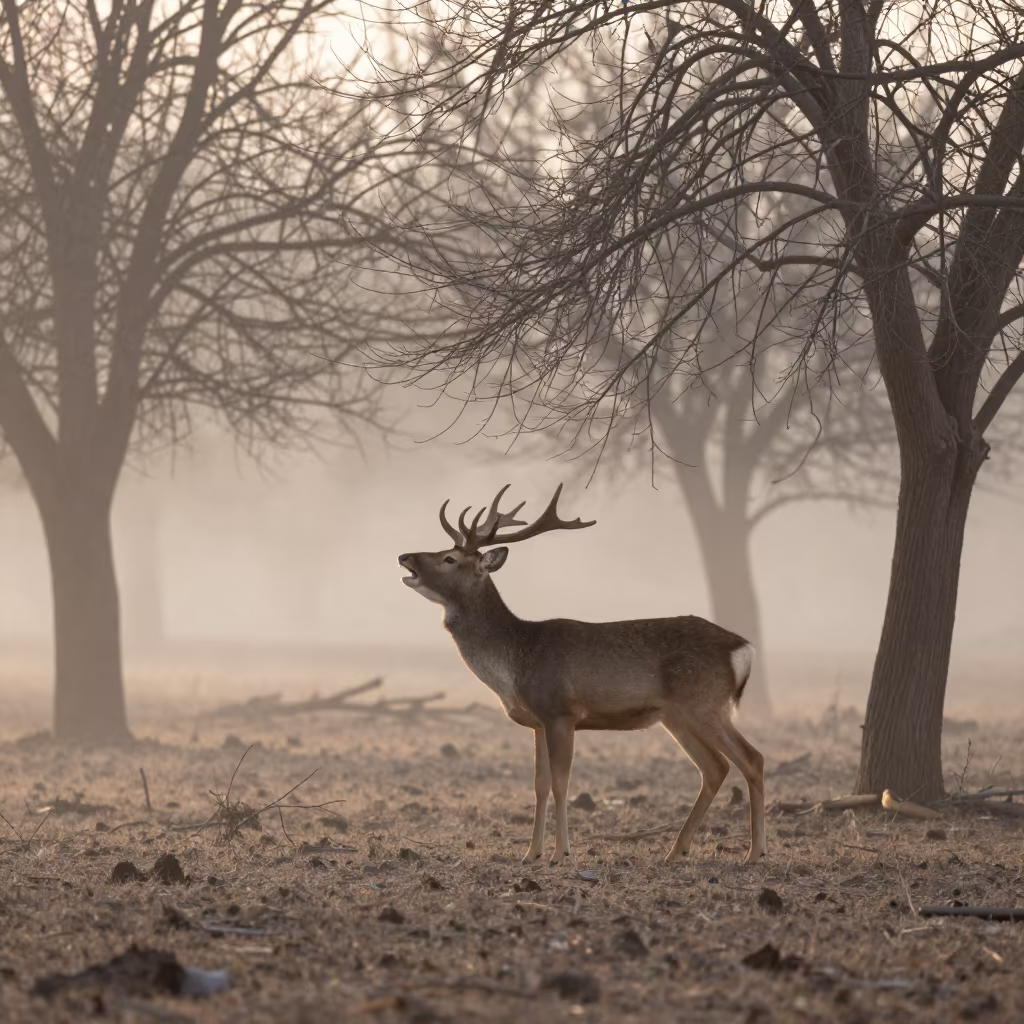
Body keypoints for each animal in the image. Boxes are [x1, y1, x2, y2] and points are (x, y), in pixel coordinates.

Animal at [397, 484, 766, 867]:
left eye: (449, 559)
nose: (404, 557)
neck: (516, 663)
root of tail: (743, 648)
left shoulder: (561, 711)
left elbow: (561, 782)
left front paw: (561, 852)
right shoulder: (538, 722)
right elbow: (539, 784)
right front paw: (531, 853)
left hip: (704, 703)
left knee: (751, 758)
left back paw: (754, 852)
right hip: (677, 716)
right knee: (714, 768)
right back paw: (677, 850)